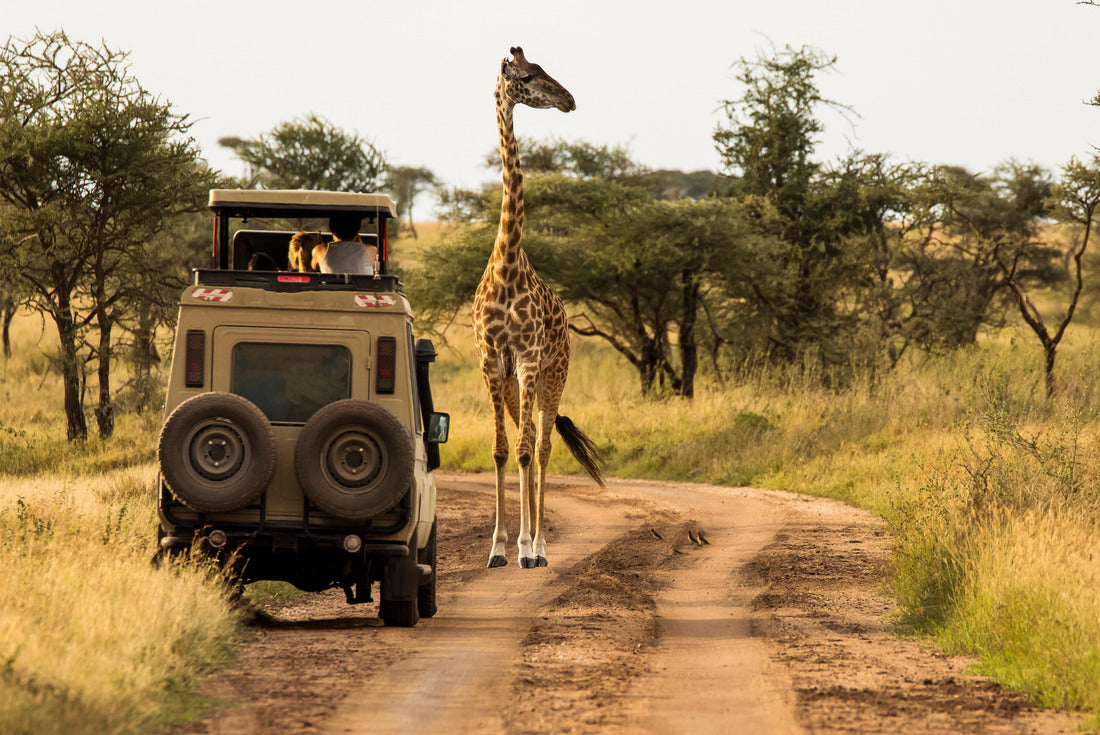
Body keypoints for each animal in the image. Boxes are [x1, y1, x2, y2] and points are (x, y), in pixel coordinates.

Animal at [473, 46, 604, 570]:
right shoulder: (493, 363)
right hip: (515, 384)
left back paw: (541, 546)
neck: (507, 263)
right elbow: (501, 449)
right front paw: (497, 549)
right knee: (524, 440)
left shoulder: (529, 361)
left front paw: (527, 547)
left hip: (554, 374)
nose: (569, 99)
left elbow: (529, 450)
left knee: (544, 446)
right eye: (527, 76)